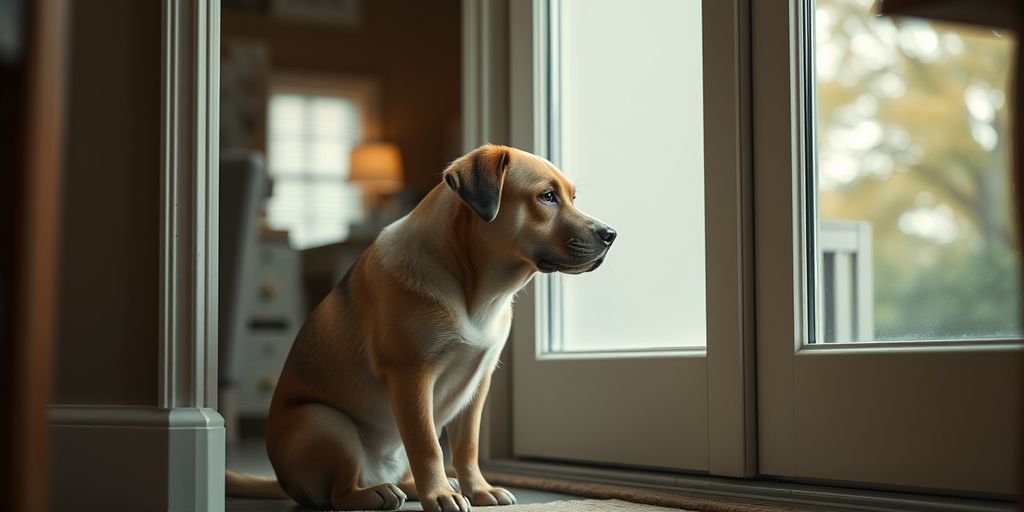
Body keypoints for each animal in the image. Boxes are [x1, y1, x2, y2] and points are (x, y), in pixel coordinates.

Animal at [226, 145, 614, 512]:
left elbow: (467, 447)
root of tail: (283, 482)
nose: (610, 234)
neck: (474, 289)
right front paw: (439, 495)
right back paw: (378, 493)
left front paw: (477, 489)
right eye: (546, 196)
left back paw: (416, 487)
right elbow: (428, 445)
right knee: (339, 492)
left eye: (572, 197)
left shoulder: (478, 383)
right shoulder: (411, 375)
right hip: (325, 422)